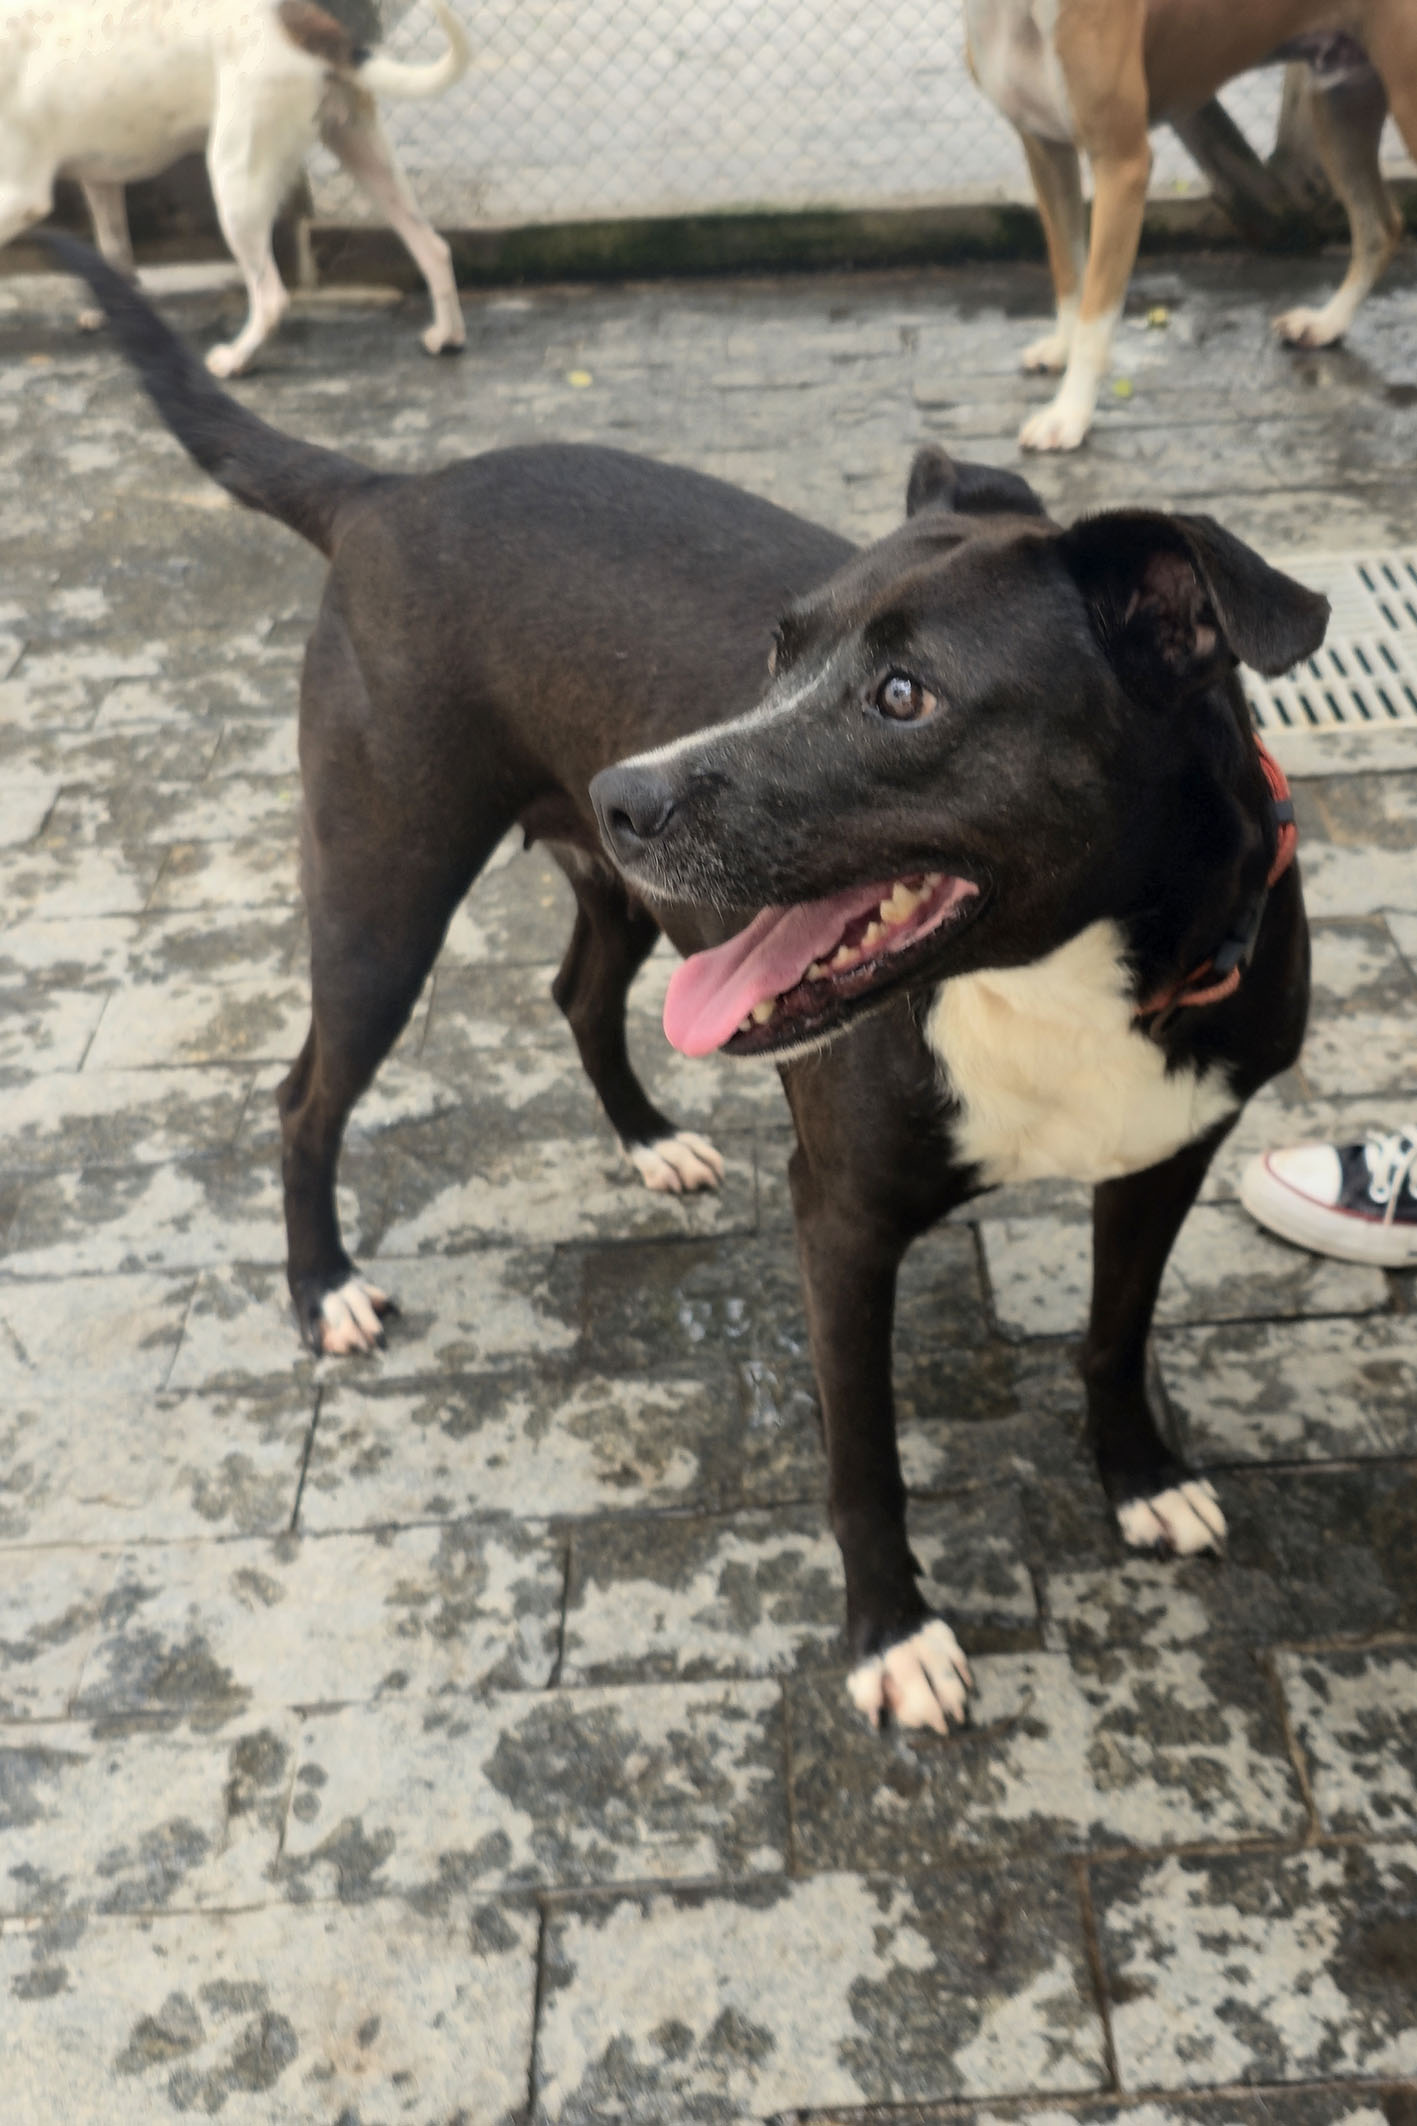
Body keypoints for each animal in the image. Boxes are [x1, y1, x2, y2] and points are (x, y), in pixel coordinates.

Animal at [2, 0, 468, 375]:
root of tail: (297, 20)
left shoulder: (21, 198)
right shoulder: (102, 178)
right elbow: (115, 250)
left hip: (236, 183)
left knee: (271, 297)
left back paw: (236, 359)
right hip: (365, 153)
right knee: (433, 248)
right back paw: (448, 336)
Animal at [52, 237, 1327, 1733]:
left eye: (904, 695)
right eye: (777, 653)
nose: (628, 794)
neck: (1059, 975)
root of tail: (387, 490)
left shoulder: (1167, 1144)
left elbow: (1115, 1331)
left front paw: (1138, 1473)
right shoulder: (841, 1219)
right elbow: (863, 1457)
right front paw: (891, 1634)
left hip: (616, 900)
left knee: (577, 994)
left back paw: (646, 1139)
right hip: (382, 900)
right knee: (305, 1096)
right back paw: (325, 1289)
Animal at [963, 2, 1417, 450]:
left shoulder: (1121, 163)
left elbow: (1097, 311)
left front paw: (1069, 414)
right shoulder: (1045, 148)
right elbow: (1069, 271)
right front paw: (1061, 347)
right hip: (1340, 106)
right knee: (1379, 226)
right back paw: (1326, 323)